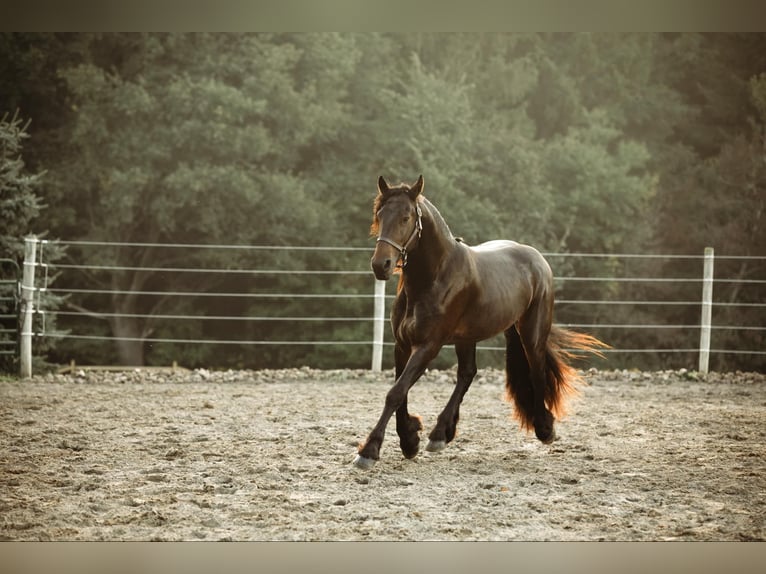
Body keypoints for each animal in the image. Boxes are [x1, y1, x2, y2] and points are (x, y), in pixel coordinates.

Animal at [356, 177, 612, 472]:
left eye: (406, 217)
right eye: (379, 215)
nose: (381, 265)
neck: (433, 277)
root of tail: (537, 259)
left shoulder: (428, 346)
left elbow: (396, 392)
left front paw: (370, 451)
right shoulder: (402, 345)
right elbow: (400, 392)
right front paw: (410, 440)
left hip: (531, 332)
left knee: (536, 371)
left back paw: (544, 428)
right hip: (468, 337)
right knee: (467, 374)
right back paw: (440, 434)